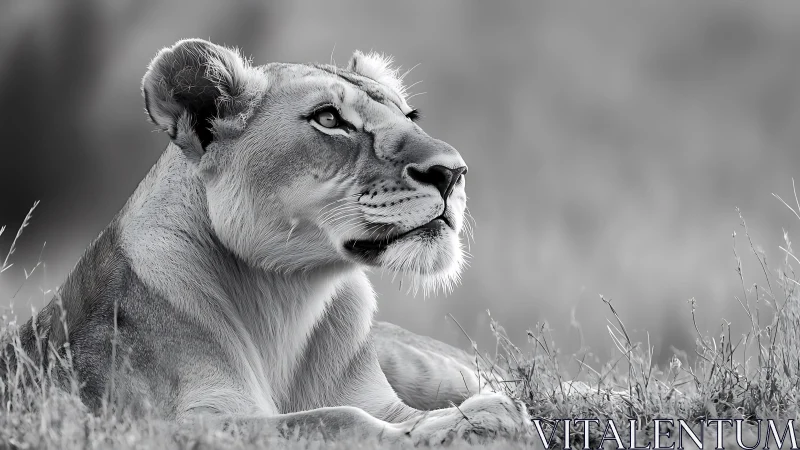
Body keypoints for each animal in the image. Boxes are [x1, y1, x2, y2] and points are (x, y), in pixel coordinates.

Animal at [1, 39, 531, 445]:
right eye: (329, 119)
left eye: (409, 116)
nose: (452, 172)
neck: (289, 295)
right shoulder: (169, 424)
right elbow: (337, 419)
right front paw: (475, 421)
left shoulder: (384, 400)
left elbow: (388, 413)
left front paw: (483, 416)